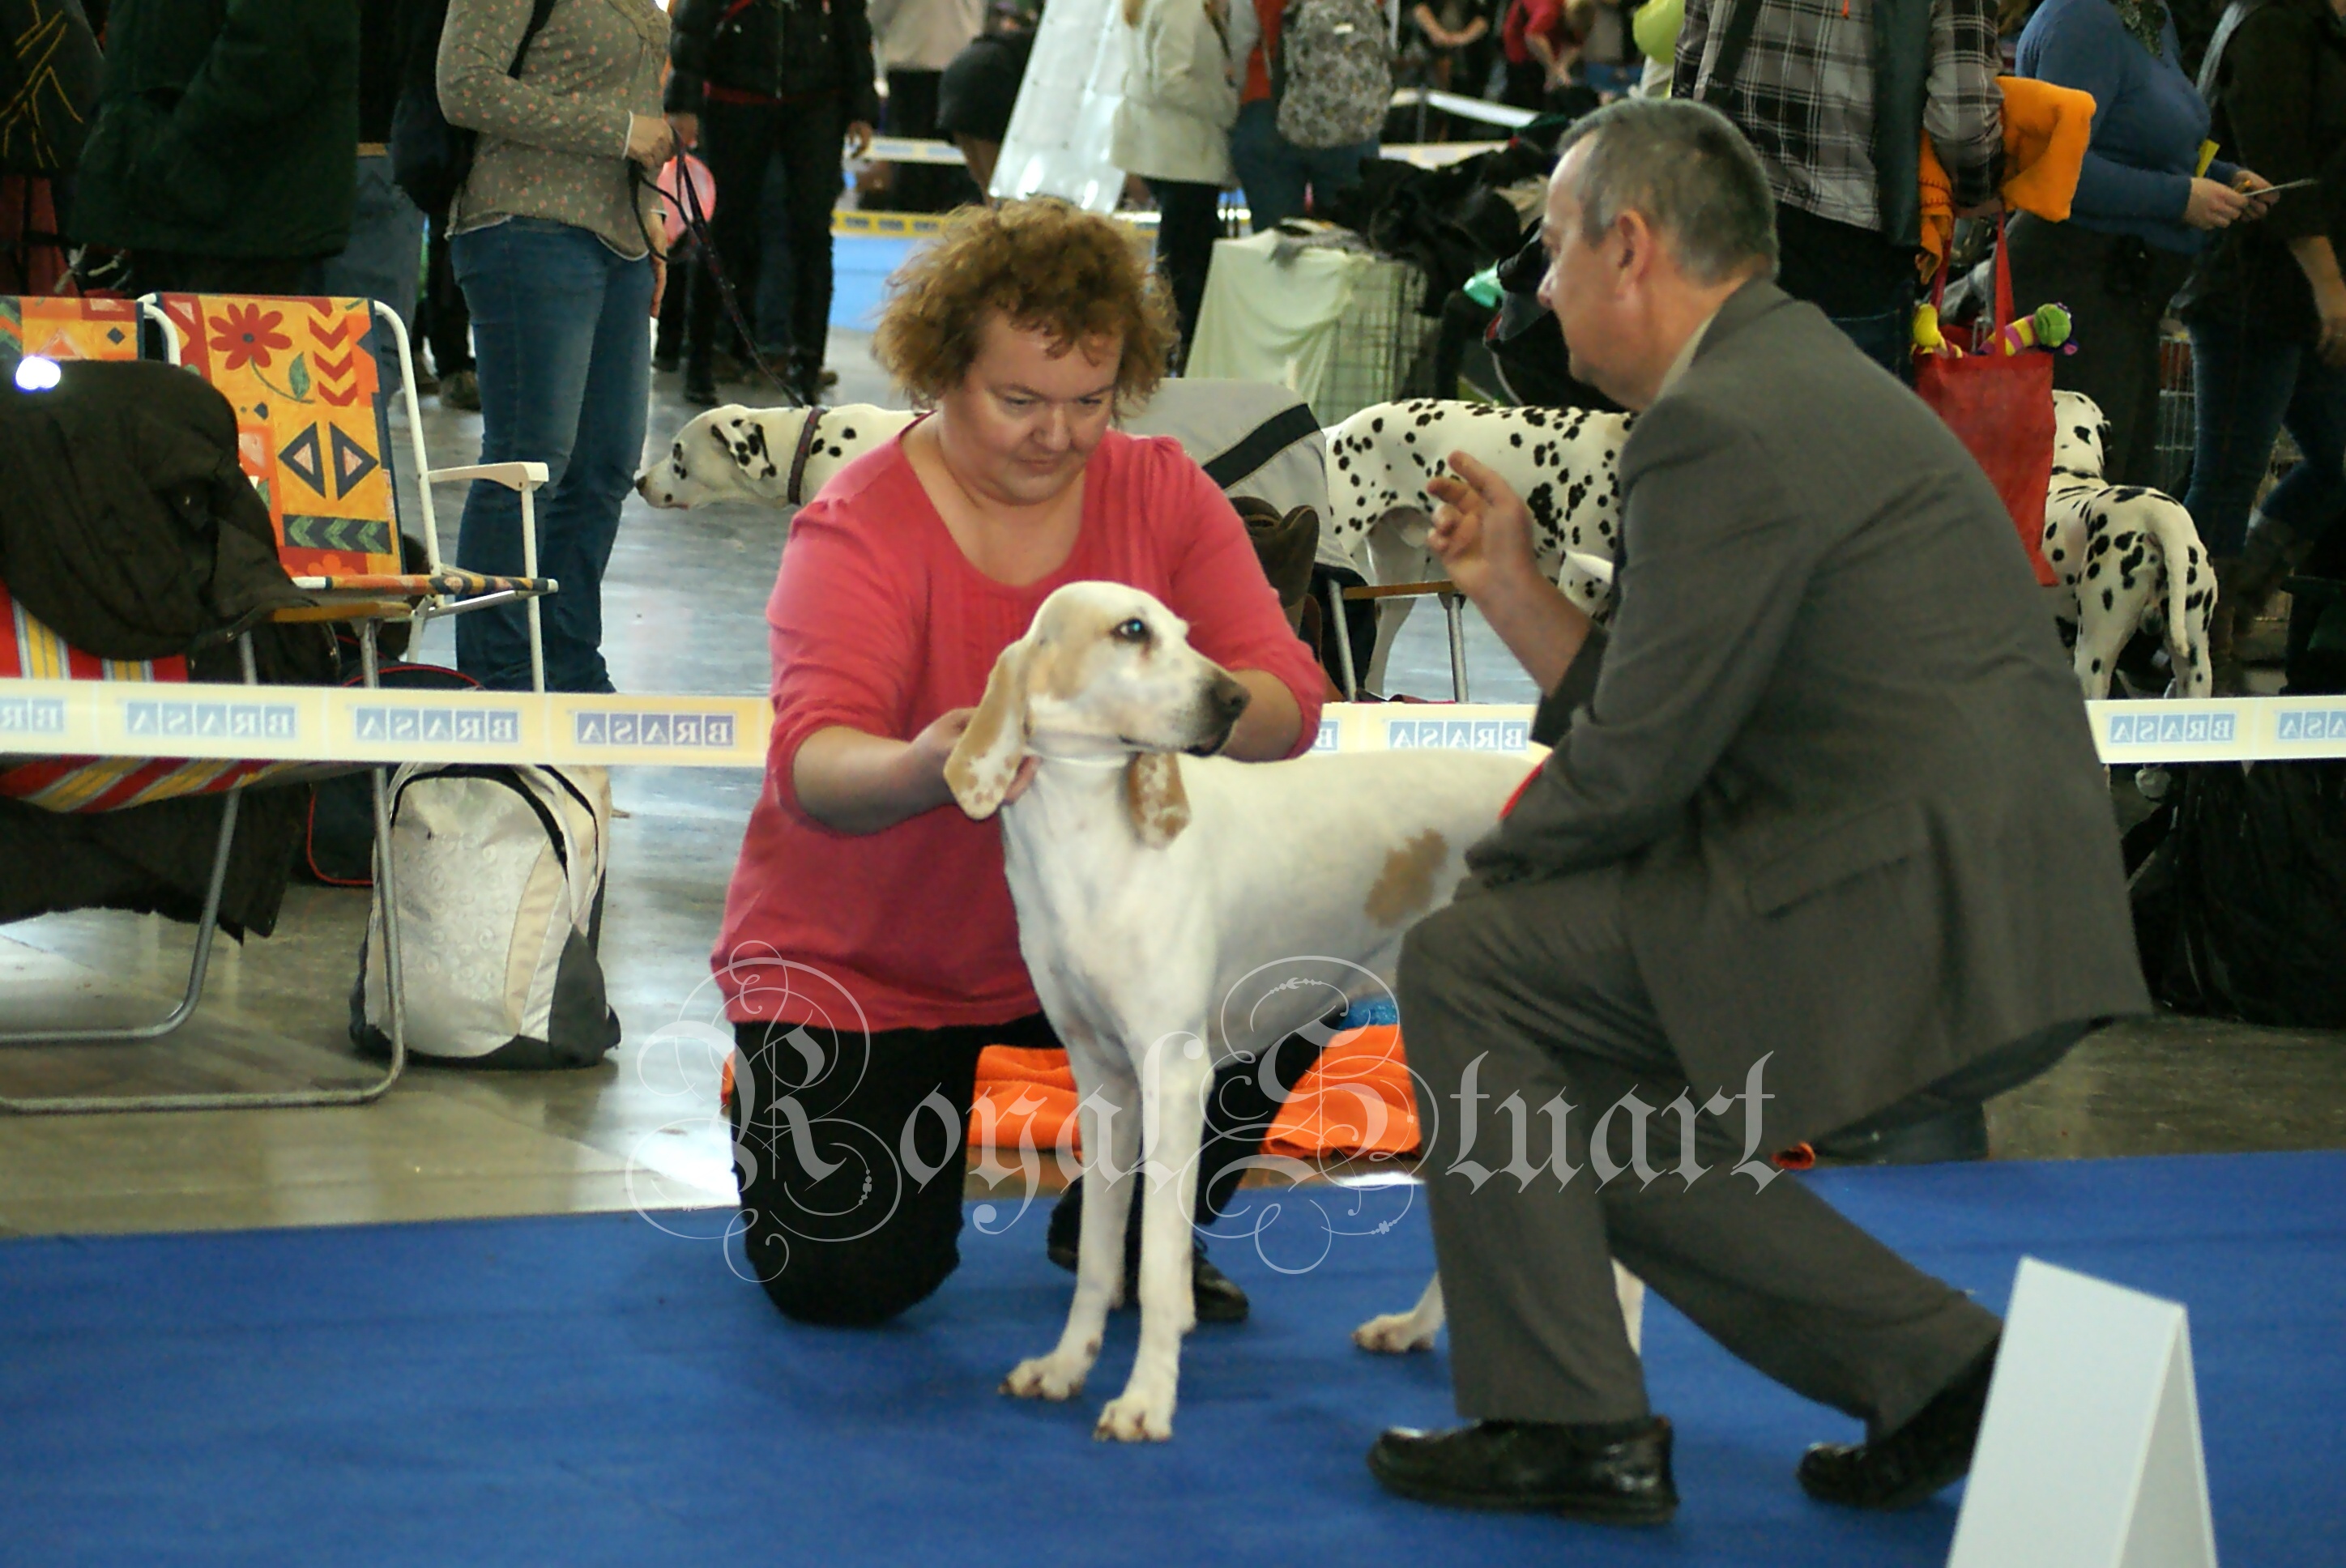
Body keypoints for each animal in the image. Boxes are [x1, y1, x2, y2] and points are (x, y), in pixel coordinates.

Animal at [943, 578, 1642, 1443]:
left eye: (1185, 632)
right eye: (1132, 631)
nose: (1234, 698)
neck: (1087, 837)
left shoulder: (1173, 1080)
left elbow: (1158, 1270)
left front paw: (1146, 1399)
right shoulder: (1103, 1080)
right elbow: (1102, 1262)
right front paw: (1067, 1366)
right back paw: (1416, 1331)